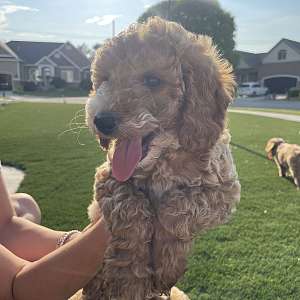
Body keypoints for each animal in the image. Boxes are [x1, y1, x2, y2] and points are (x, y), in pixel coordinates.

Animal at [82, 17, 241, 300]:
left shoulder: (225, 190)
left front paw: (168, 265)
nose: (101, 120)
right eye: (105, 80)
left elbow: (177, 207)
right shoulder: (107, 174)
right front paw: (129, 278)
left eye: (153, 80)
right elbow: (128, 203)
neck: (163, 159)